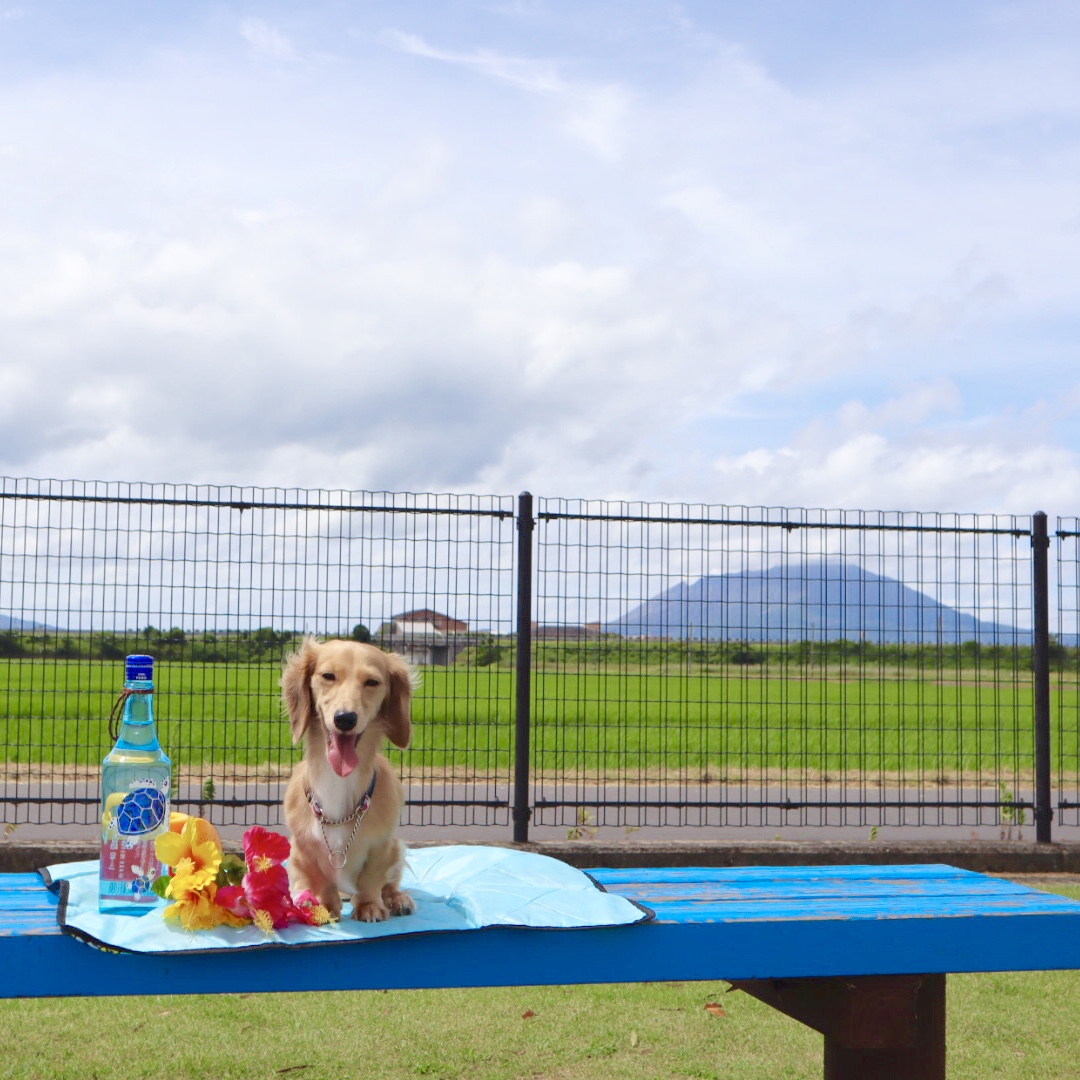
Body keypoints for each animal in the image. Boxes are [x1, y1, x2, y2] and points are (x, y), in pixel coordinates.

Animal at [280, 635, 414, 924]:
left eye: (372, 682)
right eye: (328, 676)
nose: (345, 718)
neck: (338, 782)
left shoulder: (382, 845)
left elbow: (372, 878)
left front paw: (369, 905)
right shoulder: (305, 849)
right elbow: (319, 879)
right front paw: (322, 905)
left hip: (397, 850)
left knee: (390, 883)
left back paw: (397, 899)